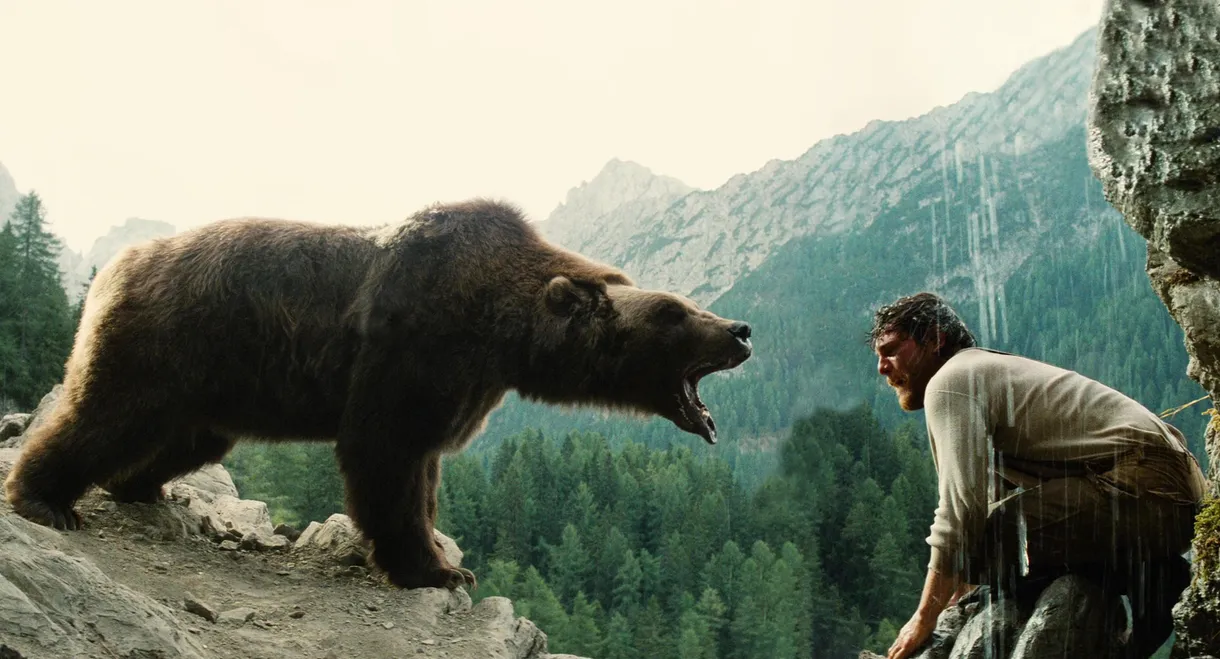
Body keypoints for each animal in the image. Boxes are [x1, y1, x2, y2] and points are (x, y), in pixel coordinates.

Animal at [4, 198, 753, 590]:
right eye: (675, 312)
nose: (741, 329)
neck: (505, 330)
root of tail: (120, 263)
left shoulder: (462, 382)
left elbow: (424, 466)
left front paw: (447, 560)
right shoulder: (411, 344)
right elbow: (386, 457)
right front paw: (432, 569)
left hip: (215, 383)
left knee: (182, 439)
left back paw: (141, 487)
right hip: (170, 341)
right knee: (106, 413)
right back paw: (45, 499)